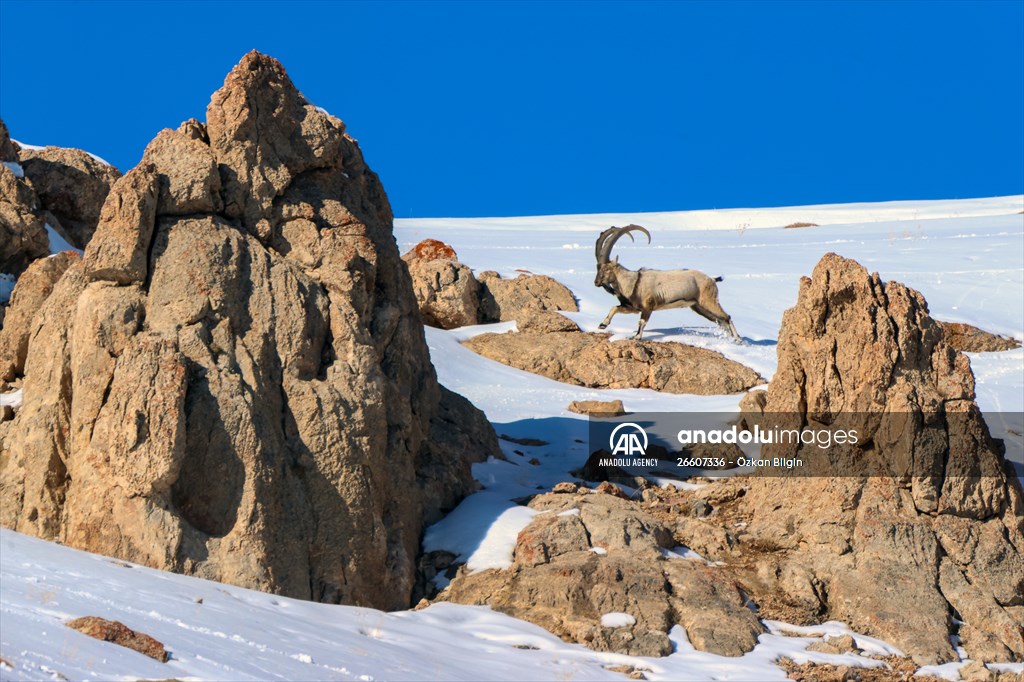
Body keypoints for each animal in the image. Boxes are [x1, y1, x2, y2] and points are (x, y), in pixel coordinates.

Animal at [594, 225, 741, 342]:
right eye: (598, 268)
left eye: (607, 269)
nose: (596, 282)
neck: (634, 282)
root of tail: (711, 279)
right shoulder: (633, 307)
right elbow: (614, 308)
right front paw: (602, 324)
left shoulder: (648, 307)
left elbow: (642, 321)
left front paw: (636, 337)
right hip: (699, 307)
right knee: (720, 321)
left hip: (709, 301)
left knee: (727, 317)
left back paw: (738, 340)